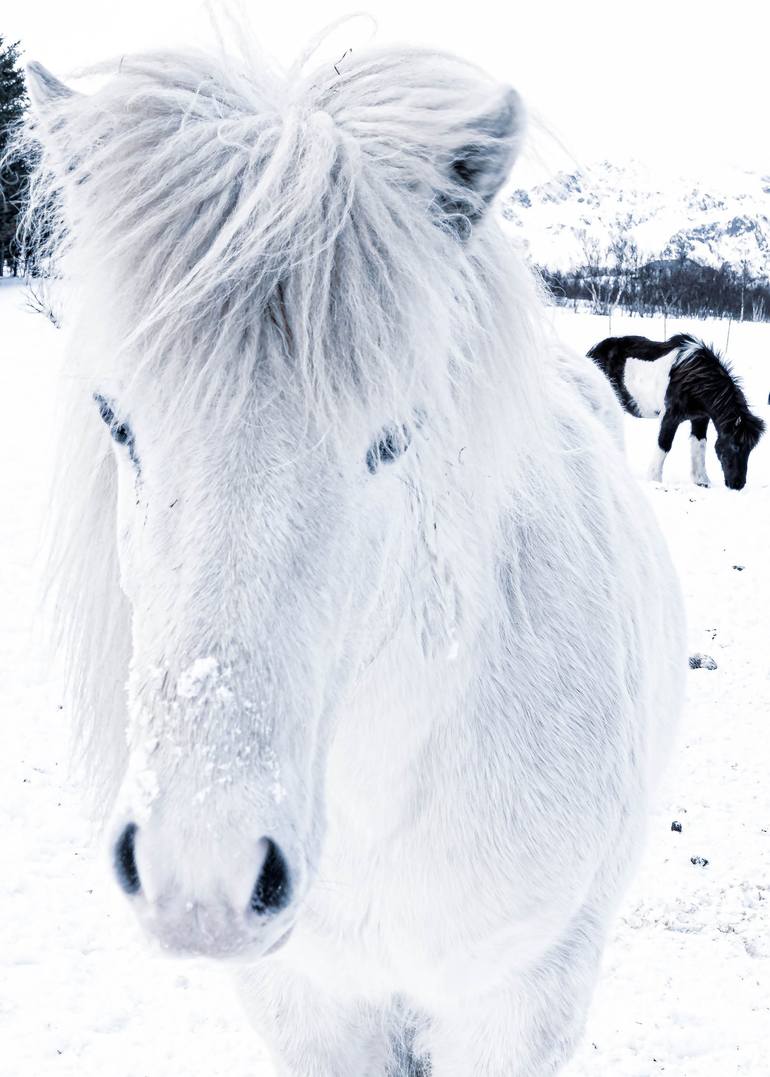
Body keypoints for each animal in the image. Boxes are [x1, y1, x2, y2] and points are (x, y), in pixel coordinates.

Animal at [590, 331, 766, 493]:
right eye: (735, 446)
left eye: (750, 449)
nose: (738, 485)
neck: (693, 377)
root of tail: (593, 352)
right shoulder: (669, 417)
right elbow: (664, 444)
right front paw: (654, 480)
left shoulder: (700, 419)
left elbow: (699, 445)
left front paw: (702, 481)